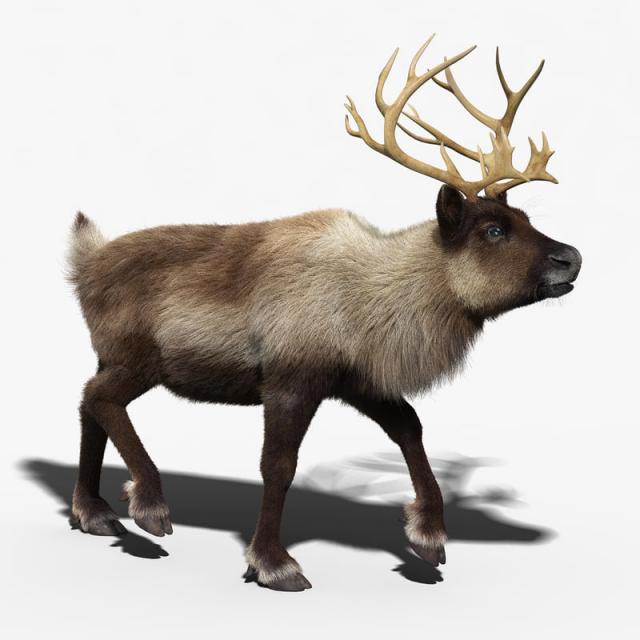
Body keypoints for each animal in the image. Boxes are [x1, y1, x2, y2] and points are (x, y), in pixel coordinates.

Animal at [67, 35, 581, 591]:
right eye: (493, 230)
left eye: (525, 216)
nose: (572, 257)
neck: (379, 299)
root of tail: (85, 263)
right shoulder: (291, 379)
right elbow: (279, 465)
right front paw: (273, 563)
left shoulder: (358, 380)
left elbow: (411, 427)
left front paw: (427, 535)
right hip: (136, 357)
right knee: (99, 398)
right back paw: (148, 504)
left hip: (115, 357)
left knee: (89, 404)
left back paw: (93, 512)